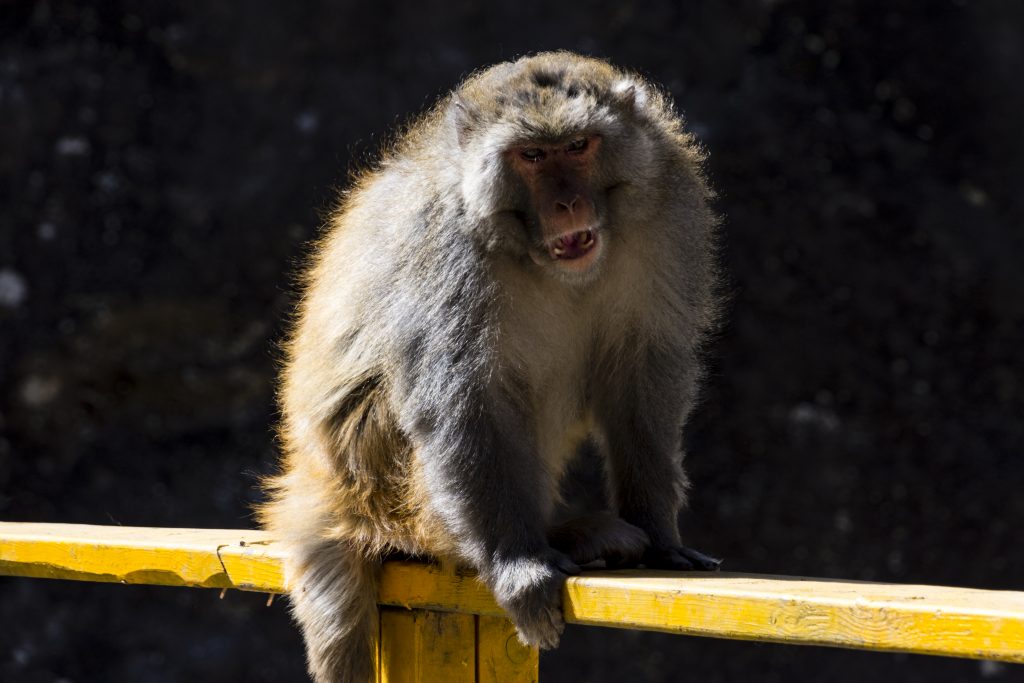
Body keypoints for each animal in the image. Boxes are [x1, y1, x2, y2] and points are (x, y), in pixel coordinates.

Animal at [256, 50, 720, 679]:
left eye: (578, 145)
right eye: (531, 156)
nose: (566, 204)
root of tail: (317, 489)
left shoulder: (668, 222)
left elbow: (642, 375)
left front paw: (658, 529)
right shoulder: (446, 249)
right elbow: (463, 401)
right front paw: (514, 563)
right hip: (381, 481)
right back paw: (553, 537)